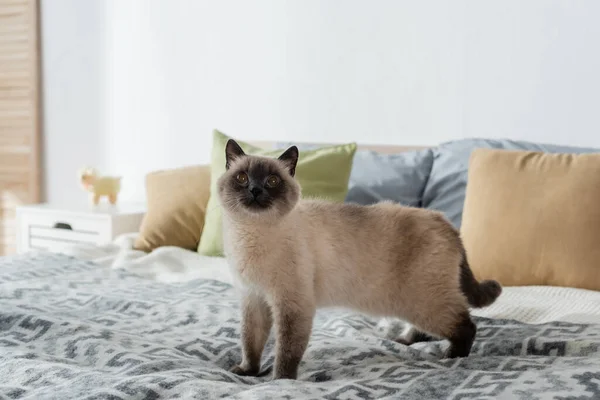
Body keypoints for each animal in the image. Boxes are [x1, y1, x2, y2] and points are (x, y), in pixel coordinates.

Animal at [217, 139, 502, 380]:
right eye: (242, 177)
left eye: (273, 181)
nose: (255, 190)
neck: (250, 234)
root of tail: (445, 222)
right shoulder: (253, 300)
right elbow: (250, 342)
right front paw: (247, 372)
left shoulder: (291, 304)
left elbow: (286, 351)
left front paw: (281, 381)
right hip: (418, 303)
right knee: (430, 327)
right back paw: (403, 342)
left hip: (424, 303)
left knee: (466, 325)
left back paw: (451, 357)